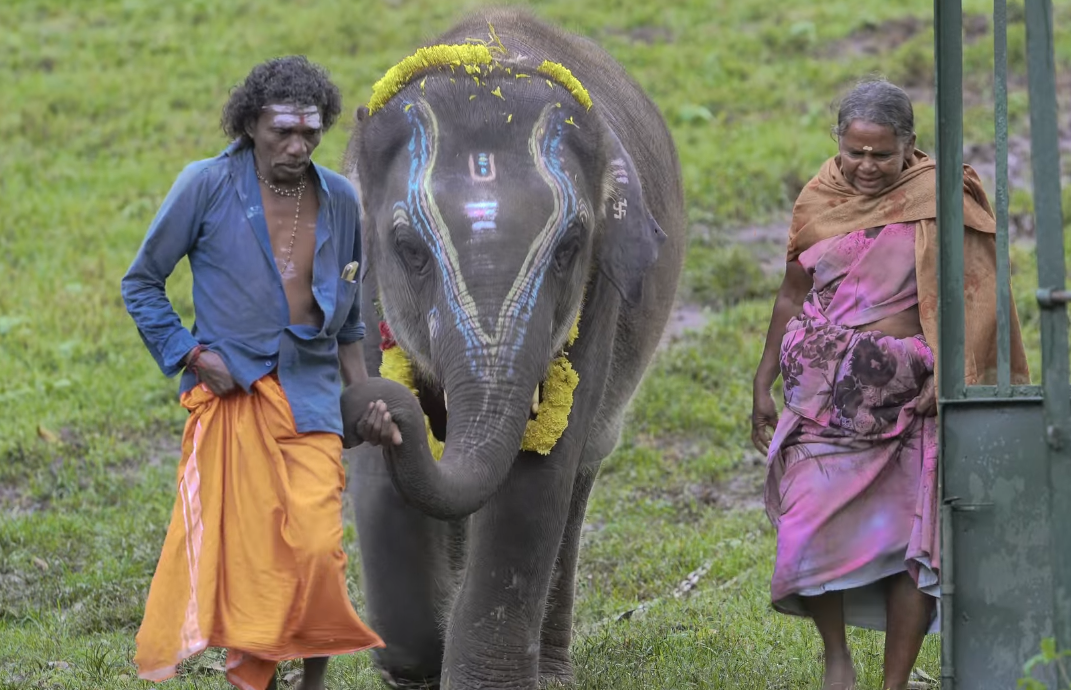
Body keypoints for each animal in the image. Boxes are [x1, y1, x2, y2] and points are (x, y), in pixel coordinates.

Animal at [340, 8, 685, 689]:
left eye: (570, 246)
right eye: (409, 249)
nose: (384, 413)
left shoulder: (598, 298)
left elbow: (537, 476)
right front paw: (417, 661)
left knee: (580, 470)